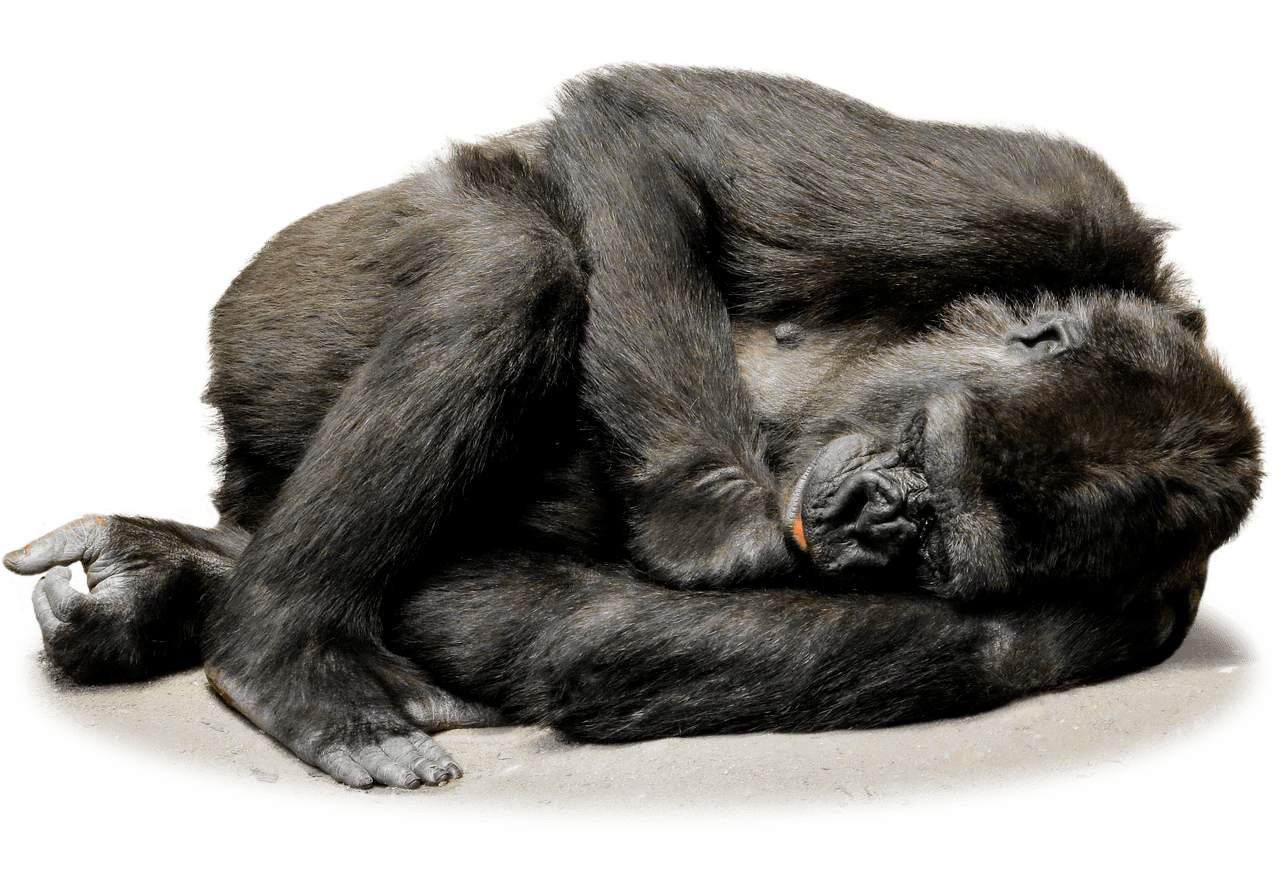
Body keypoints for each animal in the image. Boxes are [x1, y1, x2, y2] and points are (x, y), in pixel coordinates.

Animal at [1, 60, 1266, 789]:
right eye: (919, 447)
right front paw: (721, 527)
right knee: (514, 255)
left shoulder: (1114, 626)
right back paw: (279, 652)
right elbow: (644, 122)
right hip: (273, 304)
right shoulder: (1063, 194)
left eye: (944, 546)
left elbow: (576, 637)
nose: (889, 515)